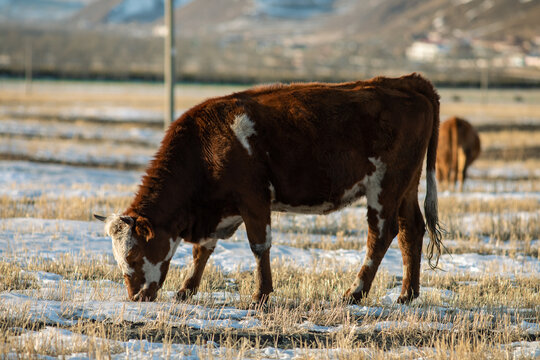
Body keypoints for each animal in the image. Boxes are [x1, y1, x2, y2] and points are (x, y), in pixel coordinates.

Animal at [95, 74, 442, 306]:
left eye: (134, 252)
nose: (136, 296)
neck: (206, 146)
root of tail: (406, 81)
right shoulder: (218, 211)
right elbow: (202, 250)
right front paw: (186, 289)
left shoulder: (254, 199)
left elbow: (259, 247)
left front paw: (260, 296)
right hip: (407, 185)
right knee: (411, 230)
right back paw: (407, 294)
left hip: (385, 186)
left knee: (380, 235)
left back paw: (354, 292)